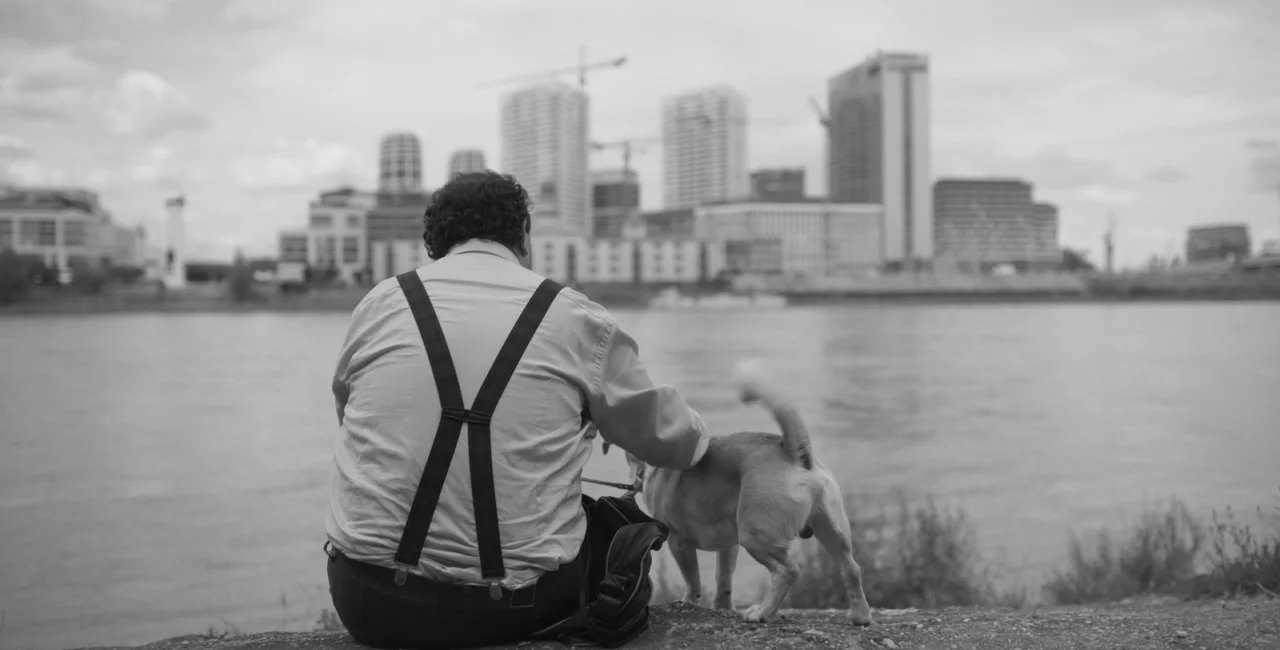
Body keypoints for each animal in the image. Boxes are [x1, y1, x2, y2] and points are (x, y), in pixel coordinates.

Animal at [601, 361, 874, 625]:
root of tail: (793, 450)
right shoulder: (729, 547)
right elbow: (724, 579)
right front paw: (723, 607)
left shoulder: (679, 543)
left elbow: (692, 579)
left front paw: (688, 603)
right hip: (831, 530)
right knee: (851, 568)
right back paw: (859, 616)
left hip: (755, 536)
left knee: (788, 572)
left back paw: (762, 612)